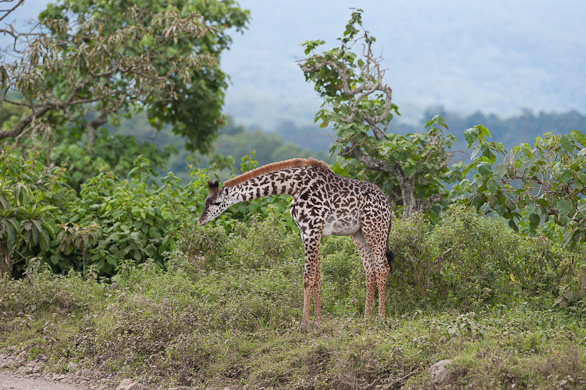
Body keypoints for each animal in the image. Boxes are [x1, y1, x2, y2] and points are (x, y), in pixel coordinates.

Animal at [196, 158, 392, 332]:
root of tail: (388, 205)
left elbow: (308, 277)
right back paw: (366, 319)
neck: (294, 187)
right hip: (358, 234)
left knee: (382, 267)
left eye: (217, 202)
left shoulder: (311, 230)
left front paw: (304, 326)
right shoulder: (309, 232)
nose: (201, 220)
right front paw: (318, 324)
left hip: (374, 229)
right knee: (370, 270)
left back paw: (381, 319)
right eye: (205, 201)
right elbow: (317, 277)